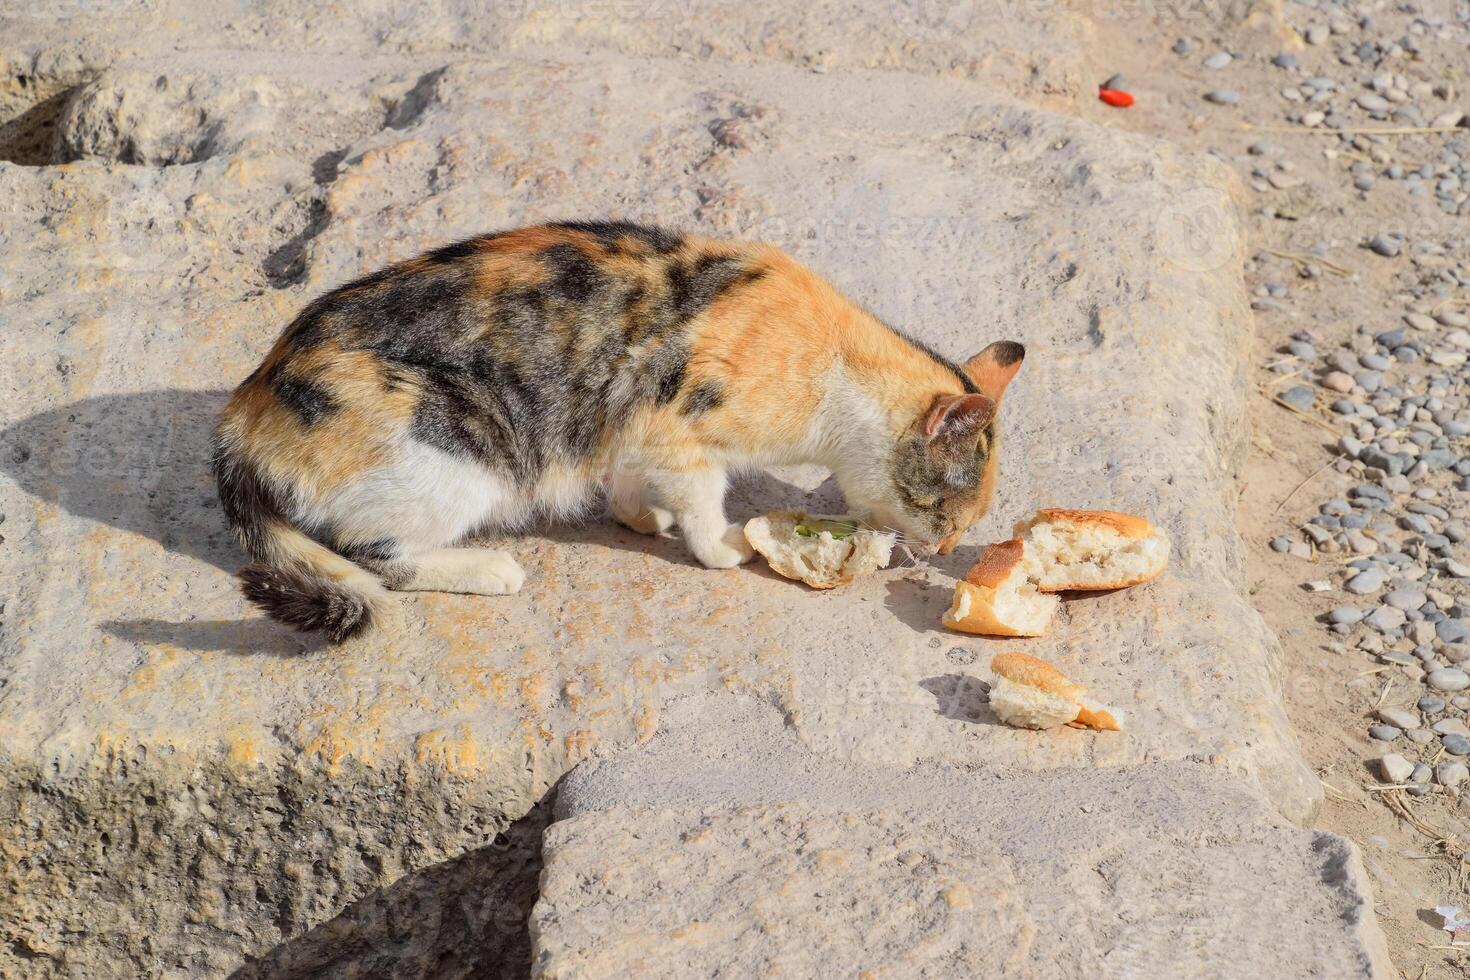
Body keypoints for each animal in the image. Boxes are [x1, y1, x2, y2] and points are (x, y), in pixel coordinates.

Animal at [214, 218, 1023, 640]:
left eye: (963, 524)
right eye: (945, 512)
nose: (942, 550)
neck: (835, 367)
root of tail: (244, 408)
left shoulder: (637, 429)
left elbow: (633, 481)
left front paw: (641, 520)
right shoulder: (684, 435)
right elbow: (704, 506)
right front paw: (723, 548)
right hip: (457, 451)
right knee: (373, 555)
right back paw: (491, 568)